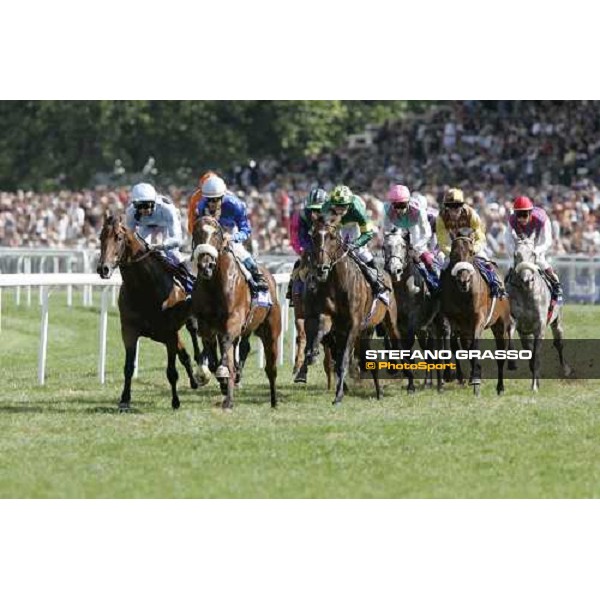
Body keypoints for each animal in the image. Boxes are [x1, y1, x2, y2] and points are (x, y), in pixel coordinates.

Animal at [97, 212, 198, 412]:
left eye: (118, 238)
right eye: (100, 237)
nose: (103, 268)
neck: (145, 288)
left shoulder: (169, 333)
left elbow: (171, 371)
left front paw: (175, 401)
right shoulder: (129, 331)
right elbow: (128, 367)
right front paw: (124, 400)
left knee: (195, 338)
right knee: (185, 355)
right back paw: (196, 380)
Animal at [192, 216, 282, 408]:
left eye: (216, 234)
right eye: (196, 232)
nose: (206, 265)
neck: (215, 285)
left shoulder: (234, 320)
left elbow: (226, 347)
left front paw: (225, 375)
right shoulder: (206, 325)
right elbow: (212, 356)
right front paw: (222, 380)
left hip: (270, 331)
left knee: (271, 368)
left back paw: (273, 401)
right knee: (242, 348)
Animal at [298, 218, 400, 406]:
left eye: (332, 237)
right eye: (314, 236)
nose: (321, 268)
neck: (338, 283)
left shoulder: (354, 325)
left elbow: (343, 360)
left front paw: (338, 396)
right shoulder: (330, 319)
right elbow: (320, 330)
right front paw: (312, 352)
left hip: (388, 320)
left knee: (394, 340)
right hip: (364, 331)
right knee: (368, 360)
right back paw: (379, 392)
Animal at [438, 232, 512, 396]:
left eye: (471, 252)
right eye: (453, 254)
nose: (463, 281)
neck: (463, 295)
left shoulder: (479, 318)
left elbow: (475, 346)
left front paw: (476, 381)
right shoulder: (453, 319)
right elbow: (455, 345)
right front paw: (462, 376)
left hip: (500, 324)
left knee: (500, 354)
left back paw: (500, 387)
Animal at [506, 237, 572, 392]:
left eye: (533, 254)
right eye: (515, 255)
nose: (526, 280)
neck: (526, 292)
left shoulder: (539, 327)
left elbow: (536, 357)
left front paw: (534, 386)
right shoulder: (517, 324)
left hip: (557, 322)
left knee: (558, 344)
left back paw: (565, 370)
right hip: (526, 333)